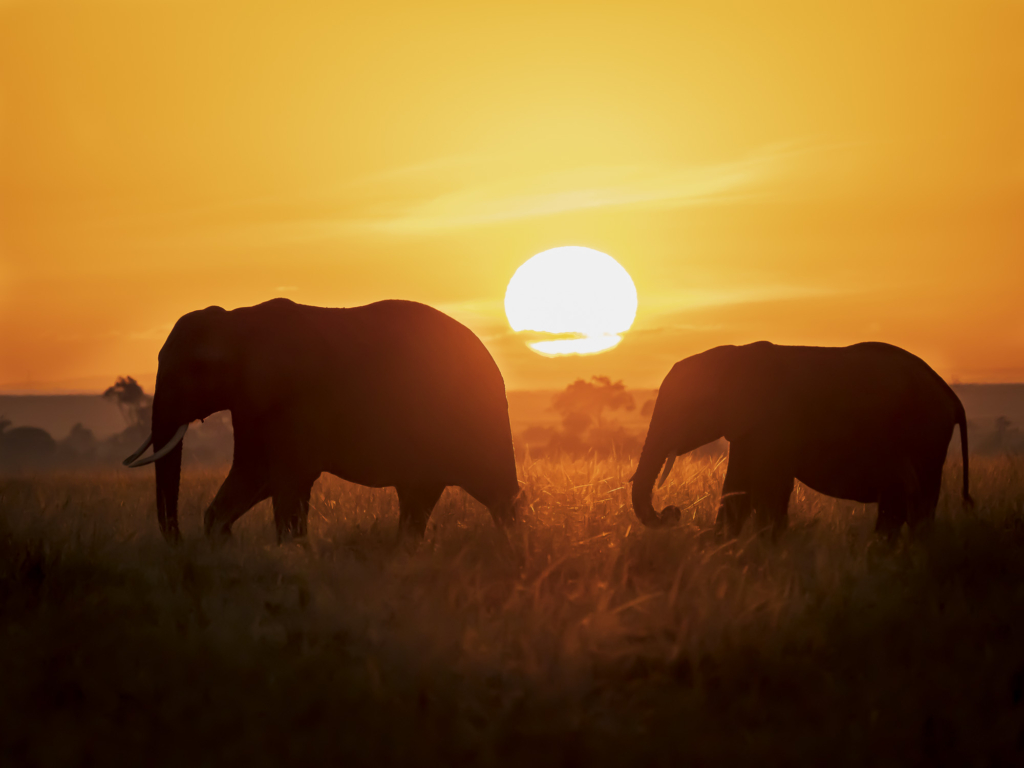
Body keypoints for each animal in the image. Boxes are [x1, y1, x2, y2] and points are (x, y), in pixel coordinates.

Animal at [123, 296, 520, 544]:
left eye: (197, 368)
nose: (178, 542)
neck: (237, 320)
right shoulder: (251, 403)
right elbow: (257, 476)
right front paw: (222, 540)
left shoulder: (292, 399)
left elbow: (287, 480)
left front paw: (289, 552)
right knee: (417, 496)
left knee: (497, 493)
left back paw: (513, 548)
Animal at [626, 342, 970, 540]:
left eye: (687, 407)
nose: (673, 513)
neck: (732, 355)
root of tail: (952, 398)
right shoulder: (749, 427)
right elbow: (737, 488)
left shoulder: (775, 423)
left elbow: (770, 487)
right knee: (899, 503)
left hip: (925, 436)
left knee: (916, 503)